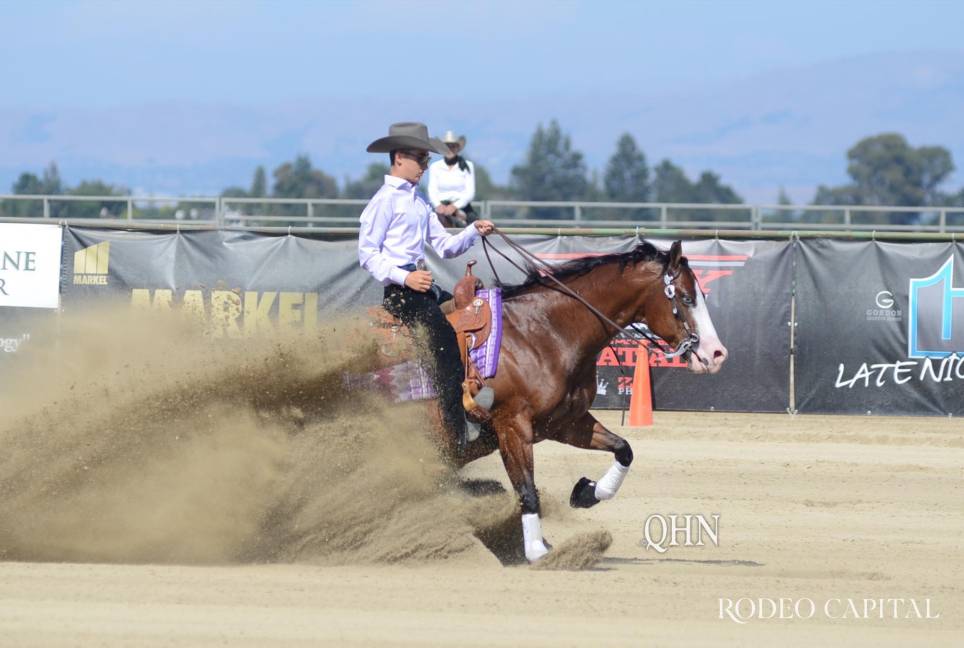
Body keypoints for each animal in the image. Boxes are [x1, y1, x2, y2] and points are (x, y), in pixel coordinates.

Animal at [440, 238, 728, 560]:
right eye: (686, 298)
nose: (717, 353)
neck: (542, 333)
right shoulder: (512, 426)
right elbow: (527, 489)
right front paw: (538, 552)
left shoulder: (565, 423)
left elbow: (623, 449)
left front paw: (587, 491)